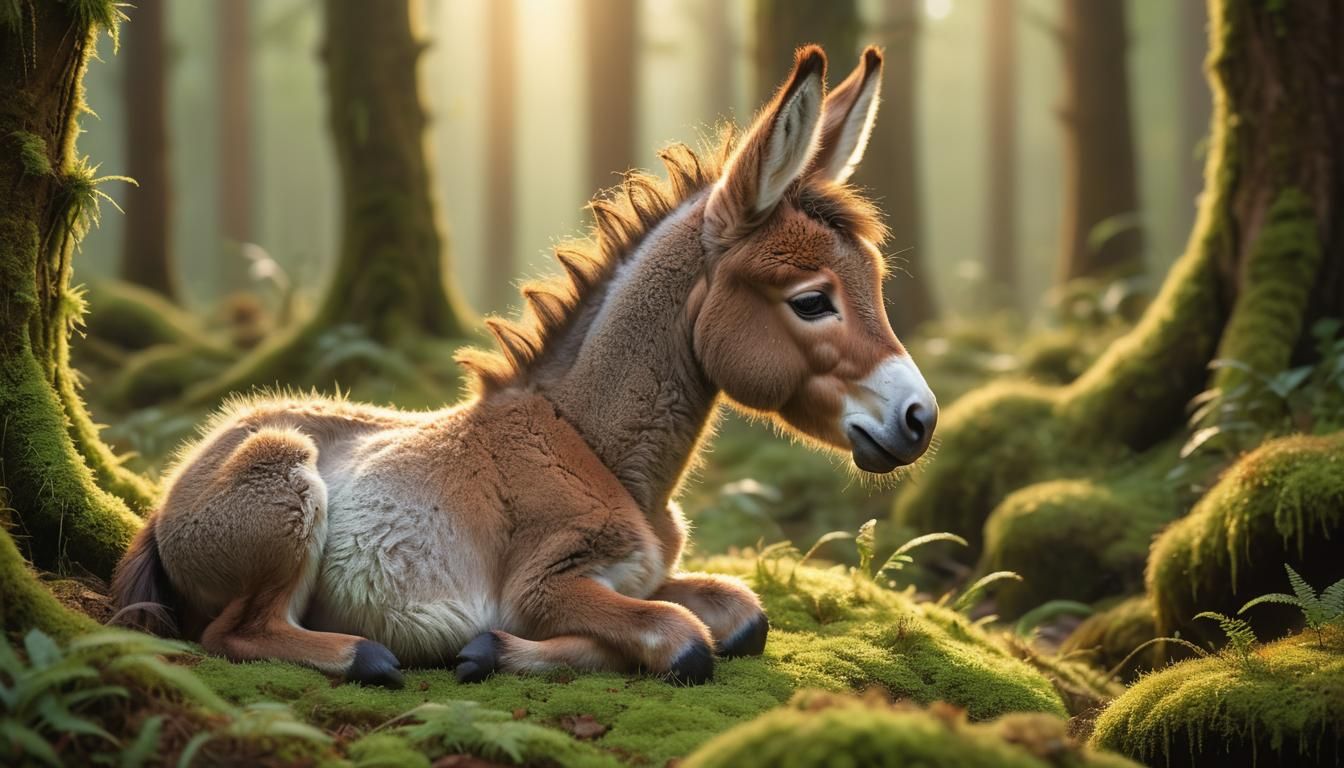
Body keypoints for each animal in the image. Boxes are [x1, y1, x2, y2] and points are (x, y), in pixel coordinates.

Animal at [111, 45, 937, 688]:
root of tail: (174, 486)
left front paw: (493, 651)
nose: (920, 419)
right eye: (812, 301)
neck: (594, 448)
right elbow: (682, 640)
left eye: (875, 280)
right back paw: (368, 656)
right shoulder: (548, 583)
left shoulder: (653, 574)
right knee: (233, 634)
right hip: (283, 484)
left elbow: (740, 617)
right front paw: (490, 646)